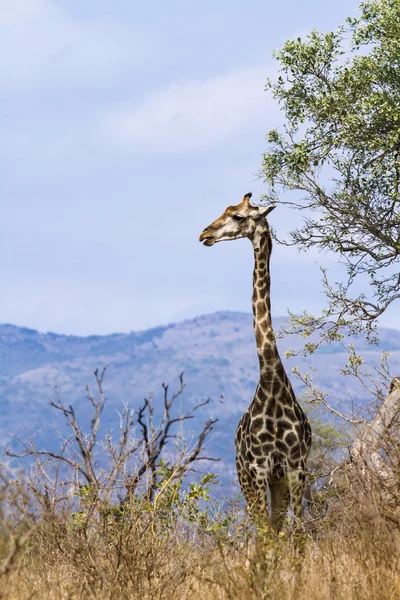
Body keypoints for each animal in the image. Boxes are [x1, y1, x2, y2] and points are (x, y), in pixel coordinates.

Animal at [200, 192, 312, 528]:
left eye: (238, 216)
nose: (204, 234)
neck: (271, 380)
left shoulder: (295, 466)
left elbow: (298, 531)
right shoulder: (260, 468)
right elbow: (265, 535)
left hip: (278, 483)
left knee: (275, 526)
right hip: (245, 478)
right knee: (262, 527)